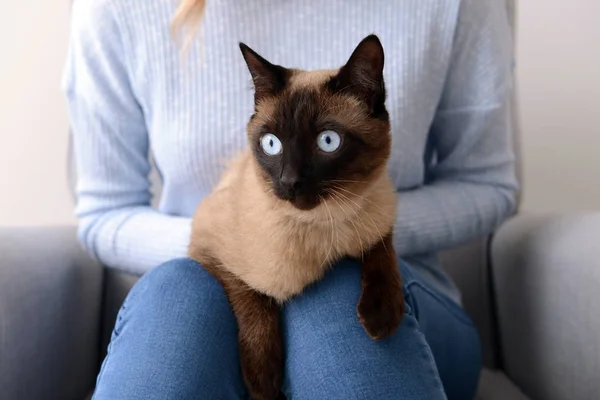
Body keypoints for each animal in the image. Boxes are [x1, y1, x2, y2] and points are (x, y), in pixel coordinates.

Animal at [188, 33, 404, 400]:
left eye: (328, 141)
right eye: (271, 144)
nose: (290, 182)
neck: (325, 226)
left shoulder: (378, 217)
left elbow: (382, 253)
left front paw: (382, 315)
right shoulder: (209, 252)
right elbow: (252, 301)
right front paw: (263, 381)